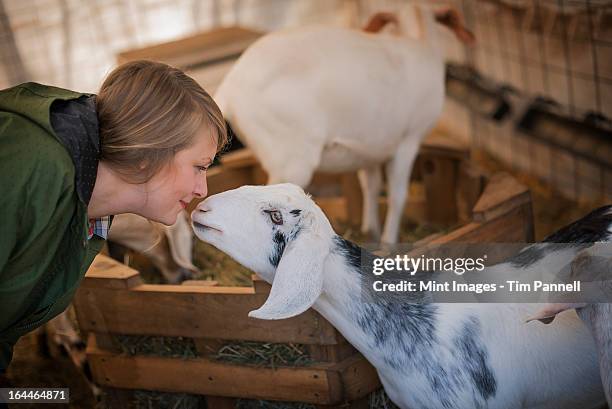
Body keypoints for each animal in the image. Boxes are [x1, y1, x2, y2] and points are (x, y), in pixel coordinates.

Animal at [214, 9, 474, 244]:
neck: (417, 40)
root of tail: (229, 88)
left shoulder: (369, 148)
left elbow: (371, 186)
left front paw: (371, 232)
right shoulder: (409, 140)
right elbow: (397, 194)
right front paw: (389, 242)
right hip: (291, 157)